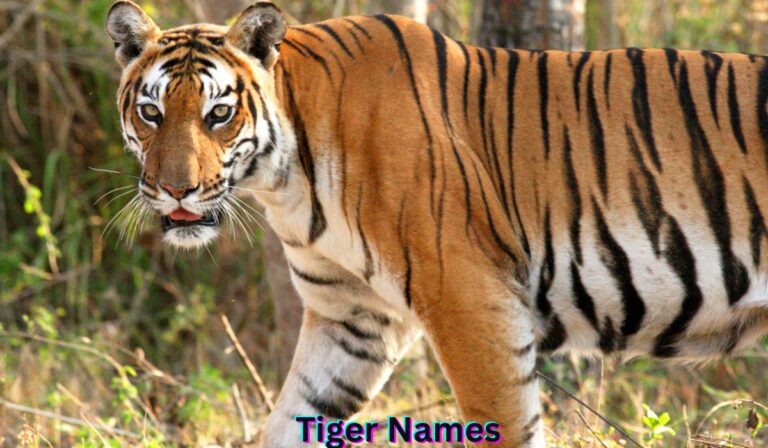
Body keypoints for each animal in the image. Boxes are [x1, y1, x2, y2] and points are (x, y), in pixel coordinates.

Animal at [106, 1, 768, 446]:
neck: (286, 180)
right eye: (151, 112)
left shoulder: (469, 300)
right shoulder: (352, 318)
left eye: (218, 114)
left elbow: (503, 425)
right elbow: (292, 418)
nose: (176, 189)